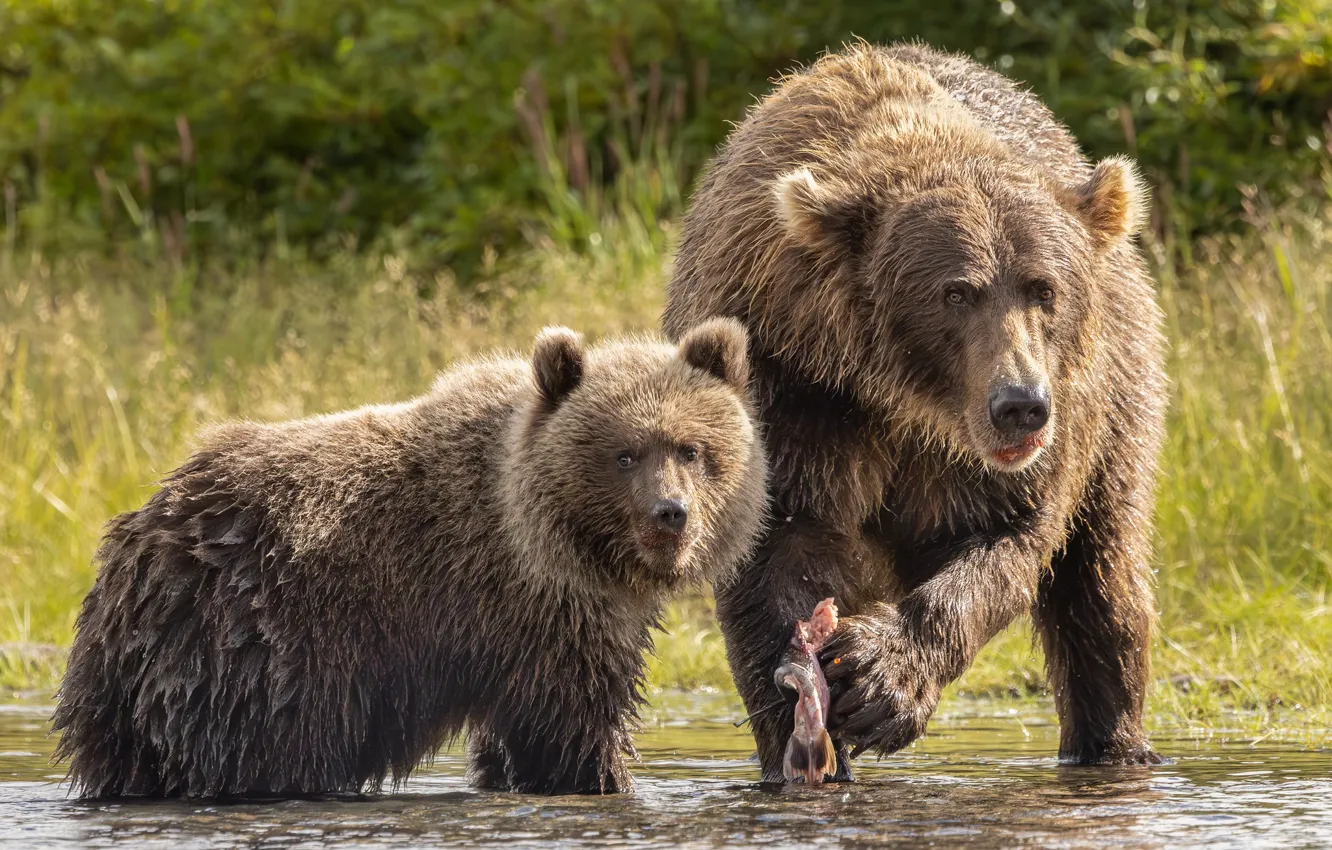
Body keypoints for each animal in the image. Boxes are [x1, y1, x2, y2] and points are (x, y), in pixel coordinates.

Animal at [52, 319, 768, 799]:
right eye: (624, 454)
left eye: (692, 449)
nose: (670, 513)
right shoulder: (532, 611)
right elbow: (573, 722)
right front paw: (604, 777)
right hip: (258, 648)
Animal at [664, 42, 1167, 782]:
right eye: (955, 292)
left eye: (1044, 289)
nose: (1021, 406)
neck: (904, 400)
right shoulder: (789, 388)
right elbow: (778, 545)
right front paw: (804, 723)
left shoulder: (1030, 441)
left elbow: (1009, 538)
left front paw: (879, 680)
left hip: (1123, 400)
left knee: (1102, 581)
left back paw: (1113, 746)